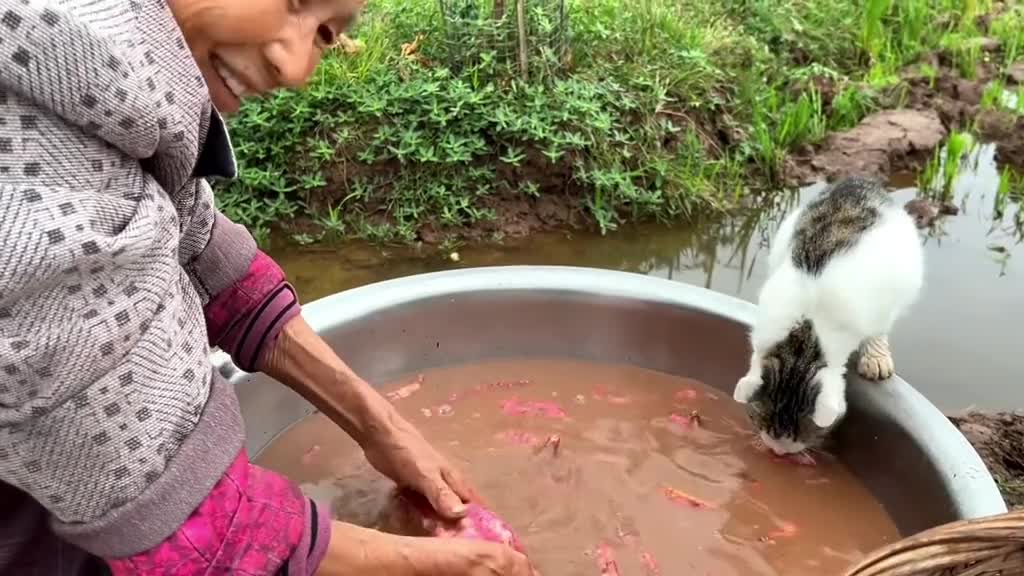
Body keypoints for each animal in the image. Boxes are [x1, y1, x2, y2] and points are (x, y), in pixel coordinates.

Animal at [733, 175, 925, 453]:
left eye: (801, 436)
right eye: (760, 421)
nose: (779, 451)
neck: (804, 331)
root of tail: (858, 179)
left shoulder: (879, 306)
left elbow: (877, 330)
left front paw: (874, 355)